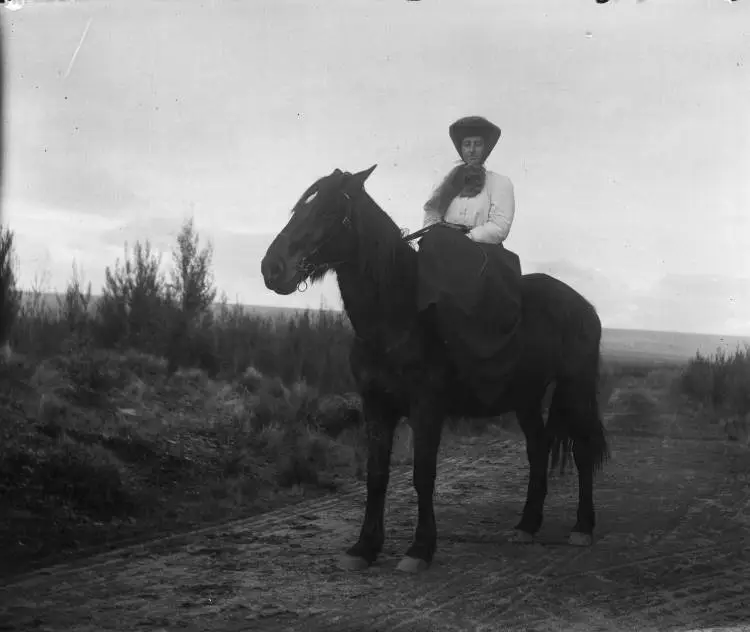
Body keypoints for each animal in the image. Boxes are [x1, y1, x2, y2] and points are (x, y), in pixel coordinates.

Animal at [262, 167, 608, 572]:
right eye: (301, 208)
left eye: (329, 212)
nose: (272, 268)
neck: (397, 318)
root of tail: (583, 305)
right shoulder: (376, 405)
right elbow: (376, 475)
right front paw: (365, 547)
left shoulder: (426, 408)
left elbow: (423, 474)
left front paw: (420, 549)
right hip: (526, 396)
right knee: (538, 449)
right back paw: (526, 525)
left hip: (576, 387)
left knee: (582, 450)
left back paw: (582, 527)